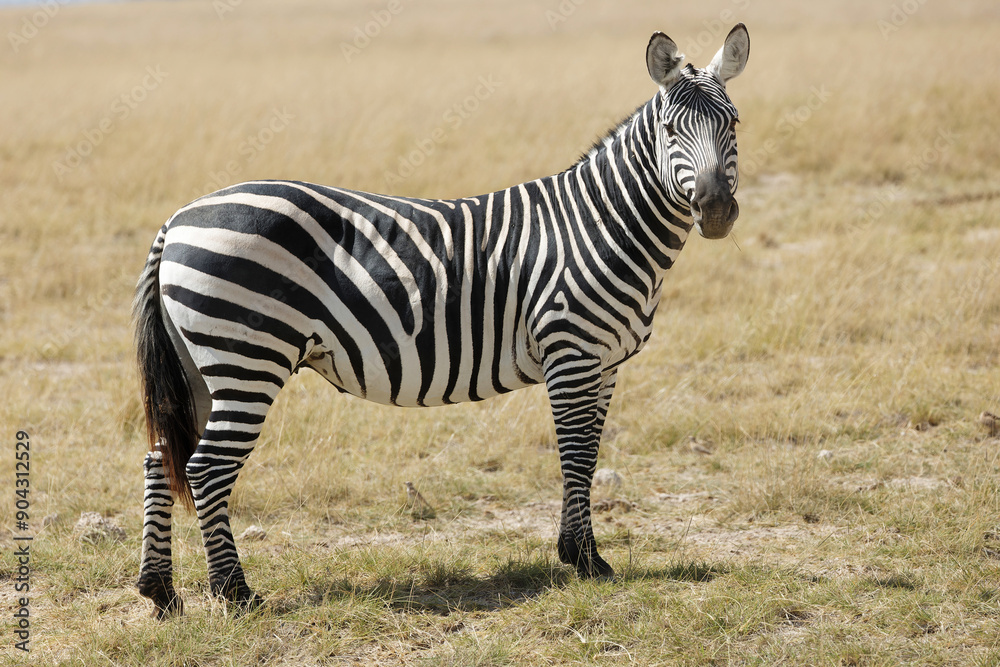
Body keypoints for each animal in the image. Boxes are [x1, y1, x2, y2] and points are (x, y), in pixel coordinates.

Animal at [135, 25, 750, 619]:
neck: (599, 225)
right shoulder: (571, 353)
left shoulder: (604, 364)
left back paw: (161, 592)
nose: (717, 210)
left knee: (162, 457)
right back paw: (234, 594)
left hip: (201, 366)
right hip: (248, 359)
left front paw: (581, 553)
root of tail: (179, 216)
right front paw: (584, 560)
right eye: (670, 129)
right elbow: (575, 454)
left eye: (733, 123)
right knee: (207, 468)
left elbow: (591, 454)